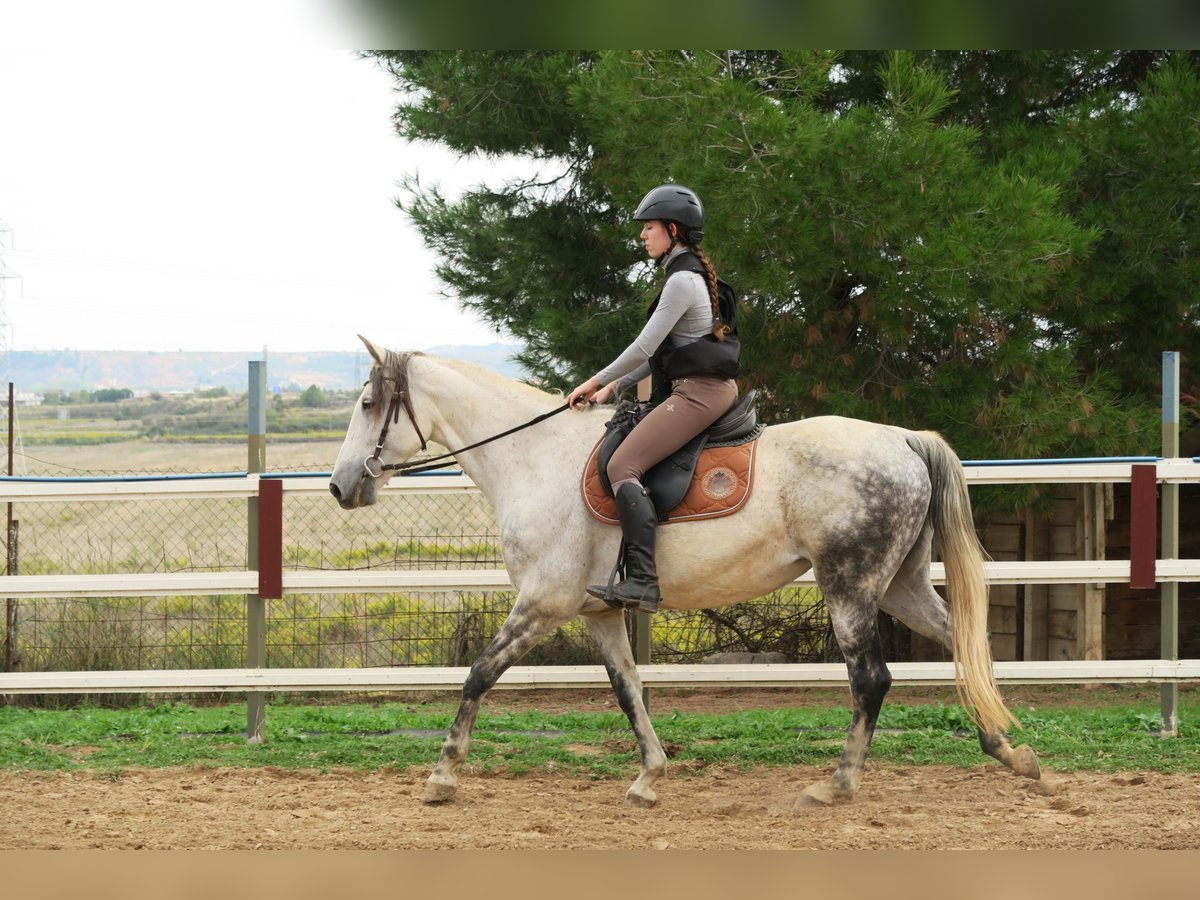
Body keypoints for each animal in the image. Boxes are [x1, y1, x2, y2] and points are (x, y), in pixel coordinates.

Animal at [331, 338, 1041, 811]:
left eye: (367, 403)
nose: (340, 487)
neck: (532, 457)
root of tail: (901, 439)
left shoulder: (543, 603)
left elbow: (479, 674)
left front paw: (442, 775)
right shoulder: (599, 613)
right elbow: (628, 691)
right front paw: (649, 776)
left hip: (851, 587)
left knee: (872, 679)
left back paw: (837, 783)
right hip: (900, 586)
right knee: (966, 650)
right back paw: (1013, 753)